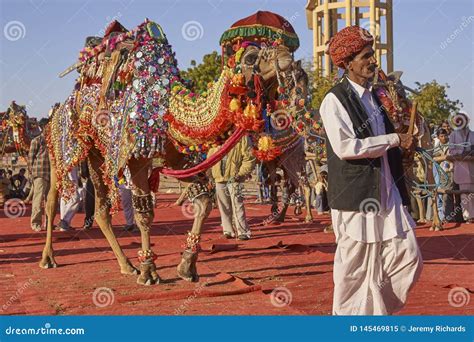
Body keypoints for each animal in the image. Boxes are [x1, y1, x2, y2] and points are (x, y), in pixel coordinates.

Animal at [39, 12, 308, 284]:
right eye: (251, 57)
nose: (285, 55)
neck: (168, 109)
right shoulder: (136, 159)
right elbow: (145, 213)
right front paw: (148, 270)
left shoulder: (179, 159)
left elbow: (204, 201)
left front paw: (187, 266)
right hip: (60, 149)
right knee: (52, 199)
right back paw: (48, 258)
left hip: (96, 153)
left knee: (102, 210)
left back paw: (126, 265)